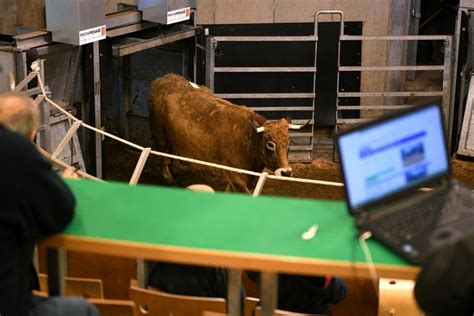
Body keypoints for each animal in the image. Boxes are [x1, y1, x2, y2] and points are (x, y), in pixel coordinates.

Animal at [149, 73, 304, 193]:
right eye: (270, 144)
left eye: (289, 142)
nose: (286, 172)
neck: (248, 137)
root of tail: (164, 79)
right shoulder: (234, 174)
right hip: (160, 133)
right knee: (162, 155)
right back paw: (169, 179)